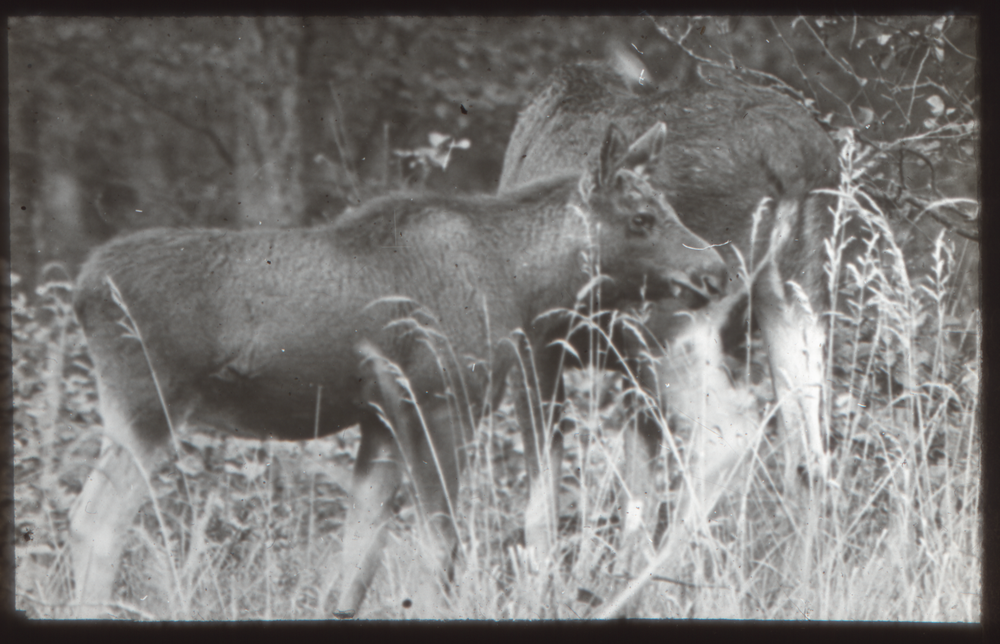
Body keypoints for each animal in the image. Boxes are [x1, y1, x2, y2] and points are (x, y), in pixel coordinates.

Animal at [70, 121, 728, 620]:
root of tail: (82, 289)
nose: (715, 271)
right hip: (148, 404)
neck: (521, 286)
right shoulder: (439, 398)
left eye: (669, 207)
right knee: (96, 519)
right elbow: (439, 546)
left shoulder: (381, 417)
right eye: (641, 218)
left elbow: (359, 554)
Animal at [498, 61, 836, 544]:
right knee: (808, 458)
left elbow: (542, 509)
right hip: (799, 295)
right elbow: (636, 501)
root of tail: (794, 156)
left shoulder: (532, 344)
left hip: (675, 317)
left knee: (729, 436)